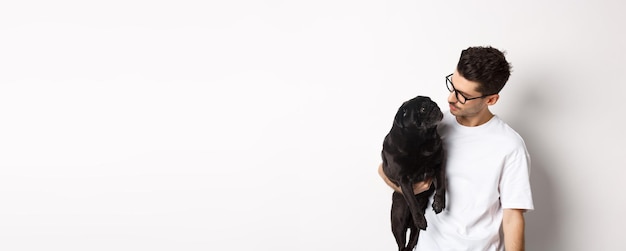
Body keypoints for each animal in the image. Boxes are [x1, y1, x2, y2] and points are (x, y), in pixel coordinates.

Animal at [380, 95, 444, 250]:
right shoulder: (404, 180)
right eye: (423, 108)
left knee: (411, 242)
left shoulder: (438, 166)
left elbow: (441, 186)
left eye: (432, 102)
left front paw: (439, 203)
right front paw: (420, 219)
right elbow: (412, 201)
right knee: (402, 244)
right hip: (398, 221)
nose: (435, 106)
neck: (421, 141)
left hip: (414, 231)